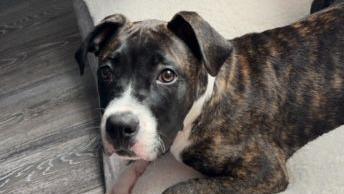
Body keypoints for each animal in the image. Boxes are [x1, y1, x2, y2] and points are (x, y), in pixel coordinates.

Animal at [76, 0, 344, 194]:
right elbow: (139, 159)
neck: (204, 102)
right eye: (105, 72)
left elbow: (179, 189)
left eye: (167, 75)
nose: (118, 127)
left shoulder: (265, 171)